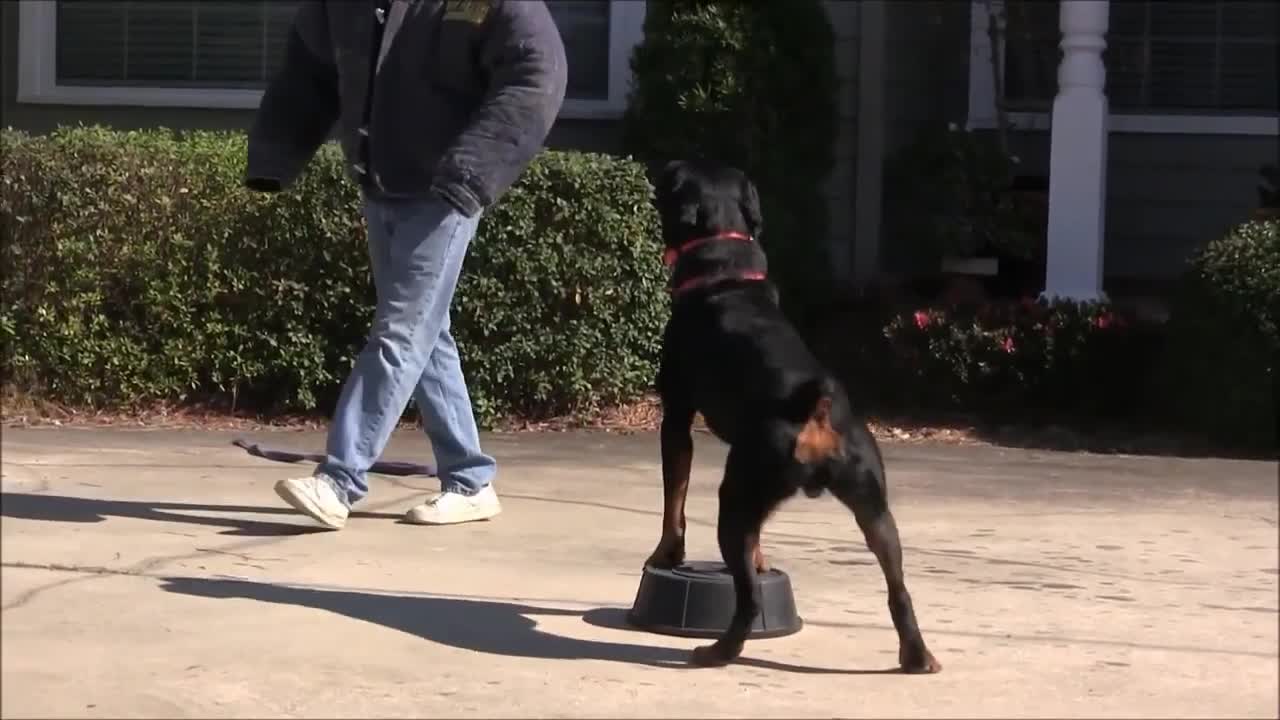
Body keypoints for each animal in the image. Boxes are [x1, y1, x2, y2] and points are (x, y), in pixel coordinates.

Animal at [650, 158, 942, 671]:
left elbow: (675, 498)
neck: (726, 270)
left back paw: (718, 652)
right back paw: (916, 655)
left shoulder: (677, 418)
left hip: (738, 493)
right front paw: (761, 559)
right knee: (898, 588)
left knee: (748, 600)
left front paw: (666, 554)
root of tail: (816, 408)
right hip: (875, 507)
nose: (661, 168)